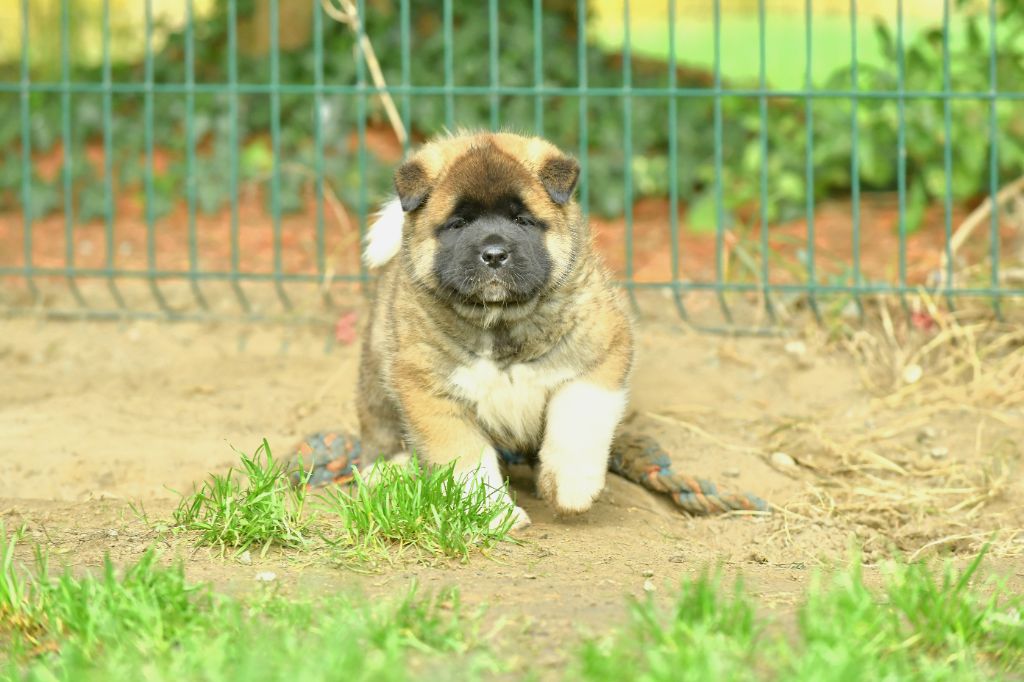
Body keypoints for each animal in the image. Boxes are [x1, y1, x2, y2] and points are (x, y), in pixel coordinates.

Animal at [358, 133, 630, 524]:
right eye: (458, 223)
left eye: (521, 219)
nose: (494, 254)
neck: (501, 321)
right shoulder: (430, 392)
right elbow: (468, 460)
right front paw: (493, 514)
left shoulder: (600, 351)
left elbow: (577, 419)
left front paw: (571, 484)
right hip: (378, 375)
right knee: (381, 426)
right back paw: (387, 471)